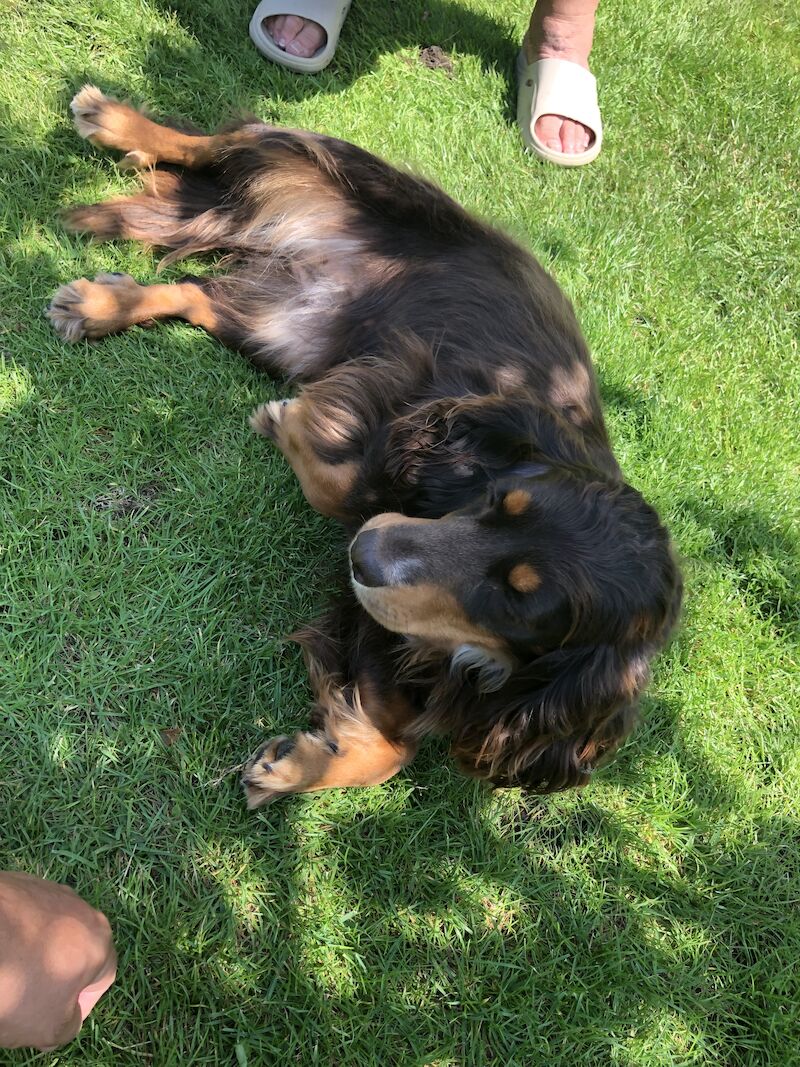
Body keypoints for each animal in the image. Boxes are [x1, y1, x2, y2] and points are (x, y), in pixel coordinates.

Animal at [46, 87, 682, 806]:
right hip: (357, 179)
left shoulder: (400, 635)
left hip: (277, 332)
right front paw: (292, 425)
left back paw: (105, 304)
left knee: (195, 294)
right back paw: (115, 123)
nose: (364, 557)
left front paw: (299, 763)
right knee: (230, 140)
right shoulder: (417, 399)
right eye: (495, 502)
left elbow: (392, 749)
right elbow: (344, 485)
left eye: (519, 602)